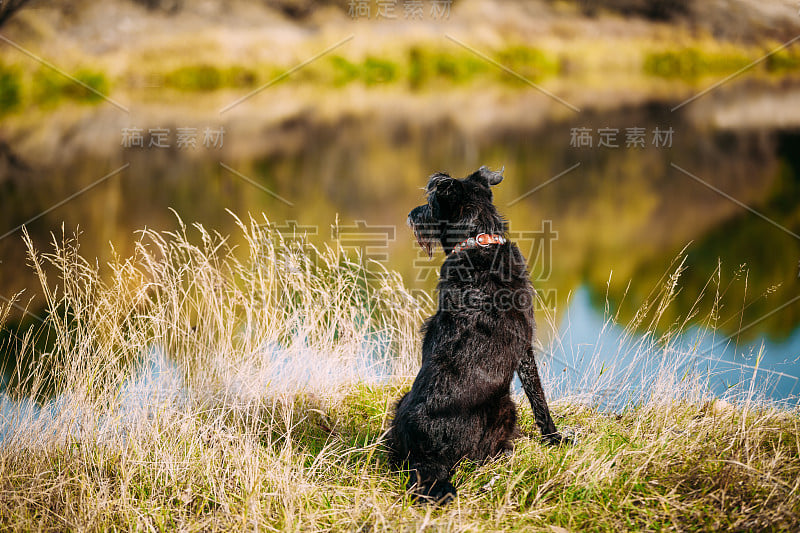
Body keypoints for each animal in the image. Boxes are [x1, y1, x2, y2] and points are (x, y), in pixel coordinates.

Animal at [386, 165, 564, 502]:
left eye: (431, 204)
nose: (411, 214)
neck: (478, 242)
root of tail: (429, 459)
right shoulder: (525, 349)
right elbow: (539, 398)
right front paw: (555, 438)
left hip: (401, 405)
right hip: (506, 406)